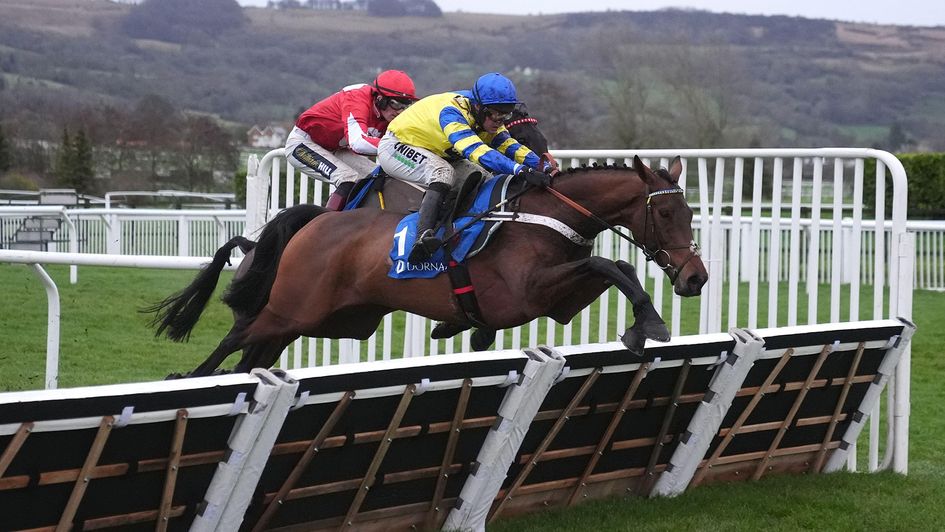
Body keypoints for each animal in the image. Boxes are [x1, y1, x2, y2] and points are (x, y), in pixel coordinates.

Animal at [151, 156, 704, 376]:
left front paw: (642, 325)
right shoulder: (523, 293)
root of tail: (316, 223)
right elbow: (612, 264)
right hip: (293, 308)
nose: (695, 277)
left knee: (253, 355)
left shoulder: (558, 299)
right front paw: (651, 324)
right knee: (237, 335)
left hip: (329, 320)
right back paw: (189, 376)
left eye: (691, 212)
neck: (539, 215)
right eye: (666, 214)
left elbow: (614, 268)